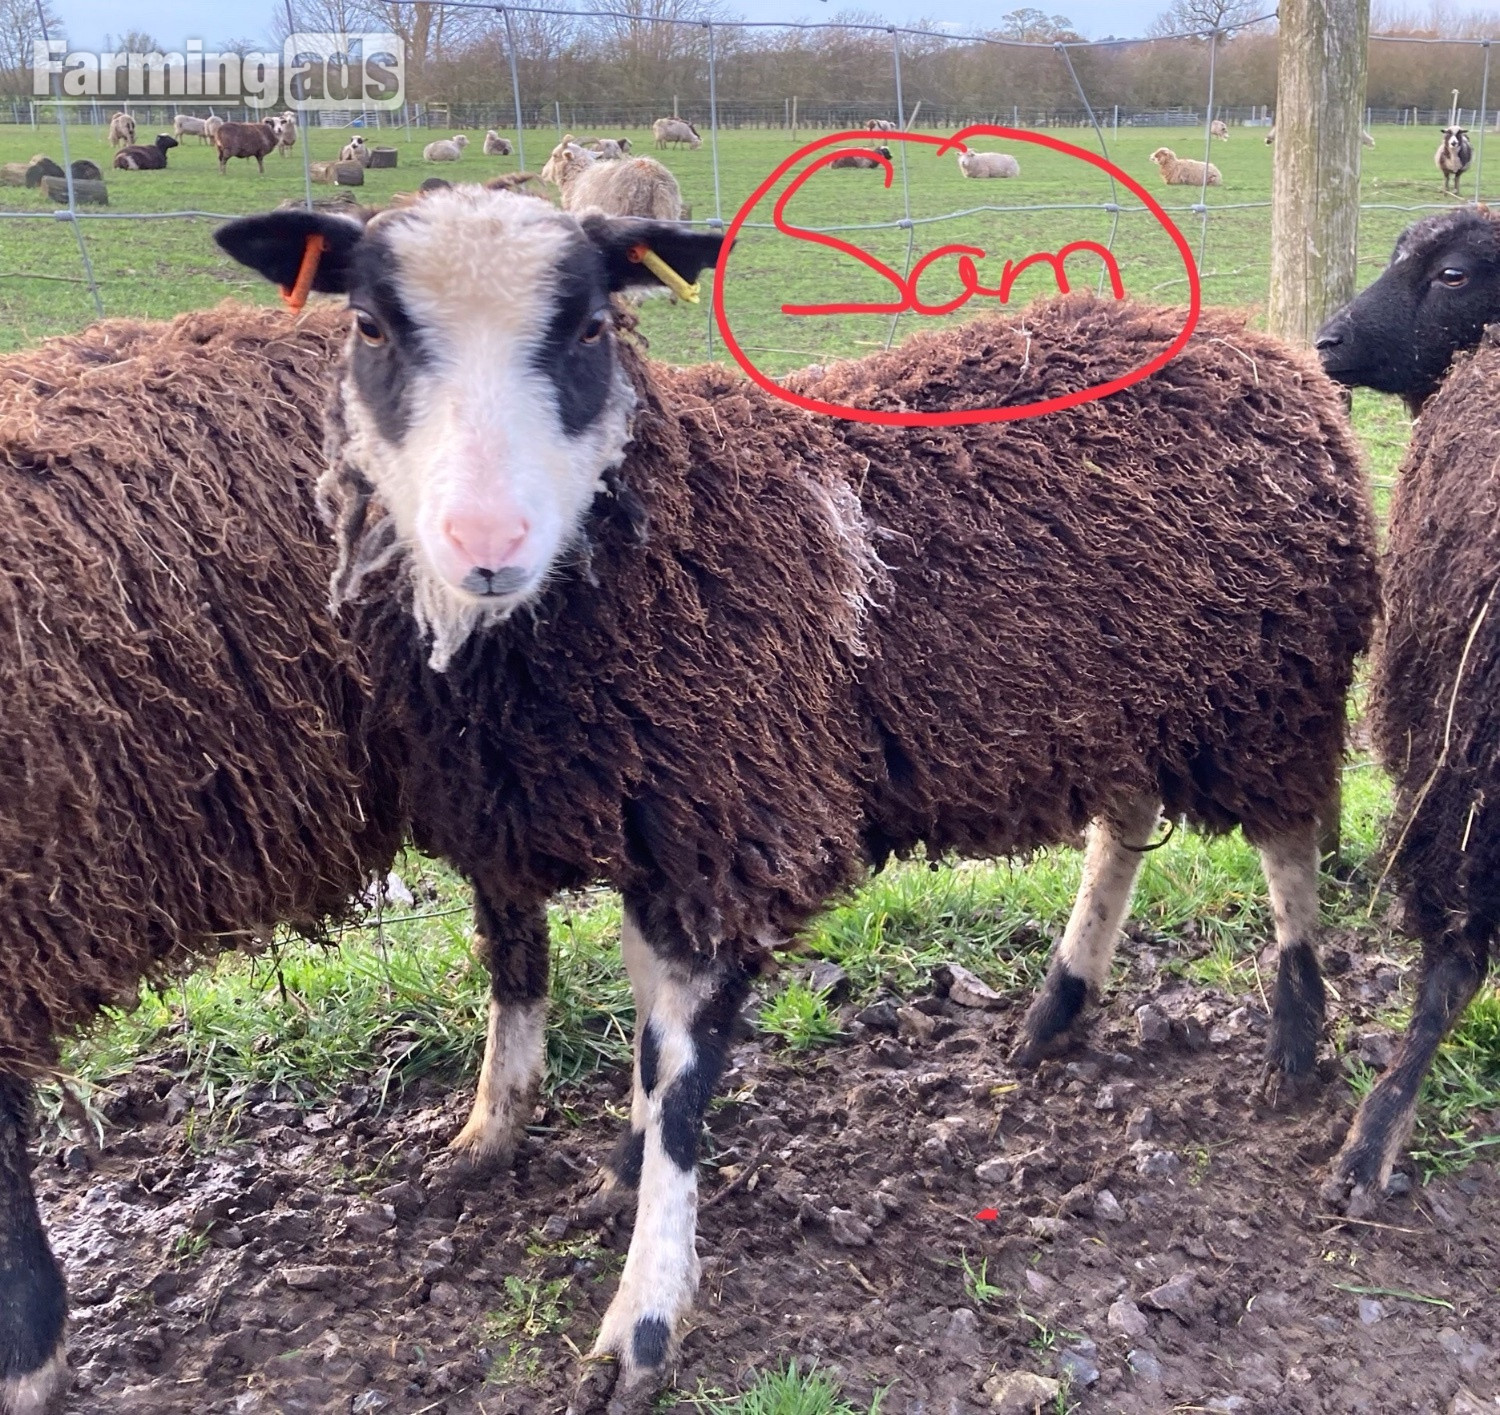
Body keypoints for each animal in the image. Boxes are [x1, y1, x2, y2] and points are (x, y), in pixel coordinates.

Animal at [218, 189, 1377, 1407]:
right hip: (1118, 697)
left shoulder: (734, 824)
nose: (487, 543)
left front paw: (643, 1316)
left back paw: (1294, 1037)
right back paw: (1056, 1008)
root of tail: (1260, 347)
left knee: (1286, 844)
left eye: (590, 326)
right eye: (369, 326)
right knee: (1126, 823)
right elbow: (574, 1002)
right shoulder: (596, 818)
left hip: (1264, 683)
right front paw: (546, 1150)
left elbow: (681, 1083)